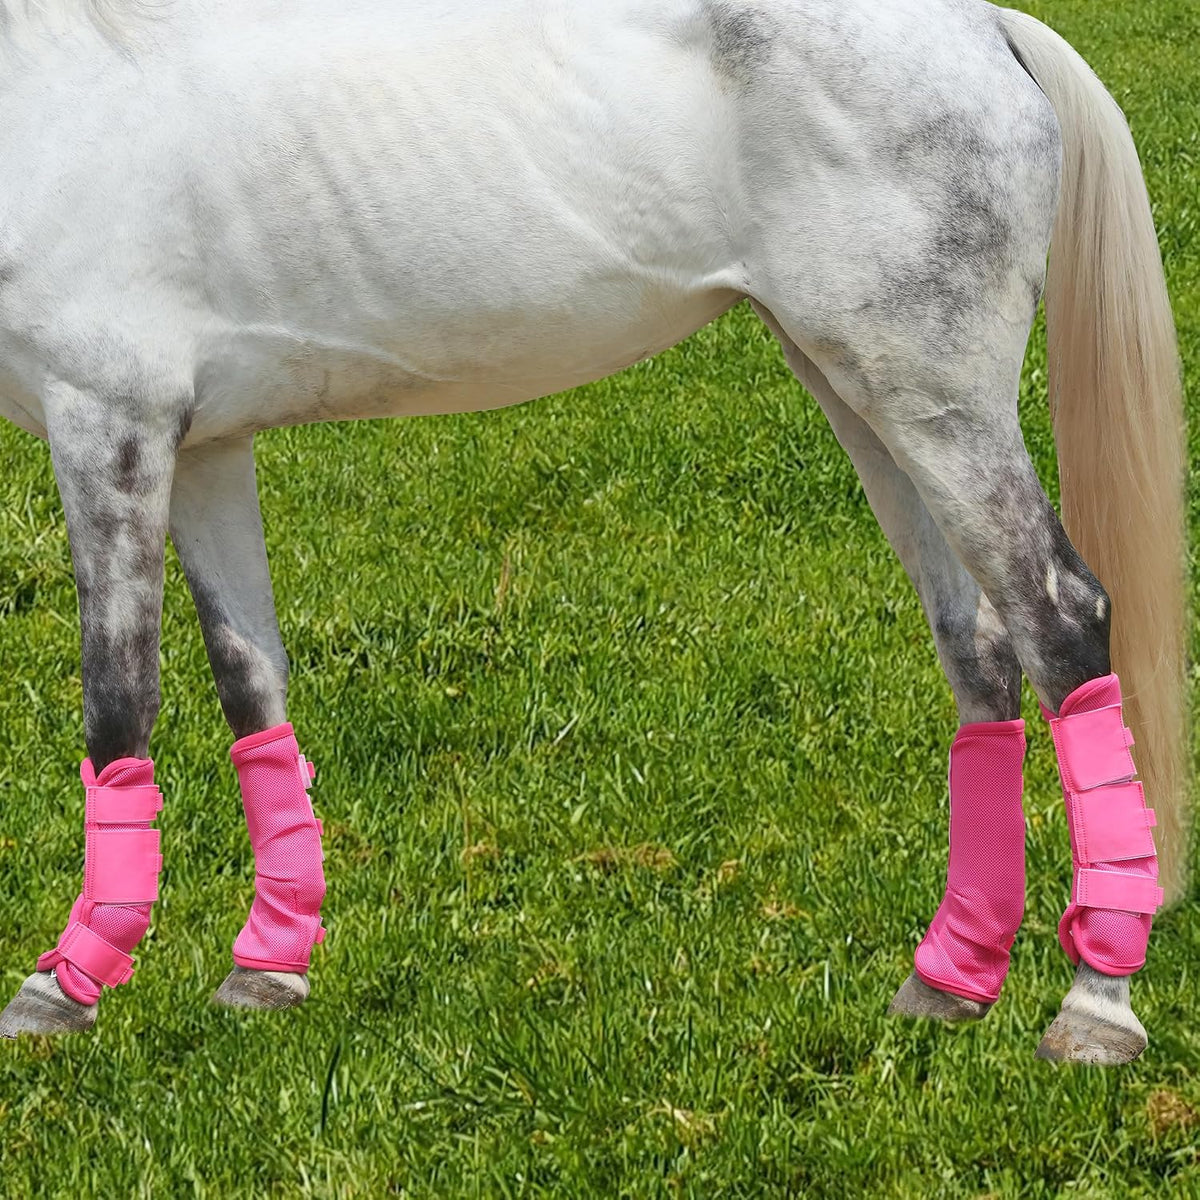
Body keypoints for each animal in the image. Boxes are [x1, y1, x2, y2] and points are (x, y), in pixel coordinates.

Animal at [0, 0, 1186, 1065]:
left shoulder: (108, 420)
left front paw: (66, 986)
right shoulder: (204, 445)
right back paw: (951, 980)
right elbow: (250, 680)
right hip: (860, 388)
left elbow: (118, 698)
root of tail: (985, 29)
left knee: (1060, 618)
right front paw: (269, 965)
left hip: (933, 396)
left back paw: (1095, 1010)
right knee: (978, 644)